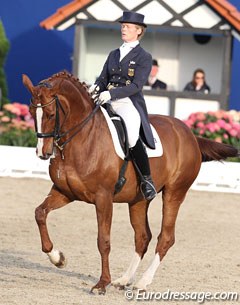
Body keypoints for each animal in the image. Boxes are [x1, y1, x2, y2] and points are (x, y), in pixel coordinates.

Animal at [23, 72, 238, 294]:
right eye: (31, 112)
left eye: (50, 114)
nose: (43, 152)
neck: (83, 138)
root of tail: (190, 135)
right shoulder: (64, 192)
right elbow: (40, 213)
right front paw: (58, 258)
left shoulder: (103, 198)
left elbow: (103, 241)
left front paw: (102, 283)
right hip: (139, 200)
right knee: (142, 237)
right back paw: (124, 279)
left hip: (174, 193)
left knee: (165, 237)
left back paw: (142, 282)